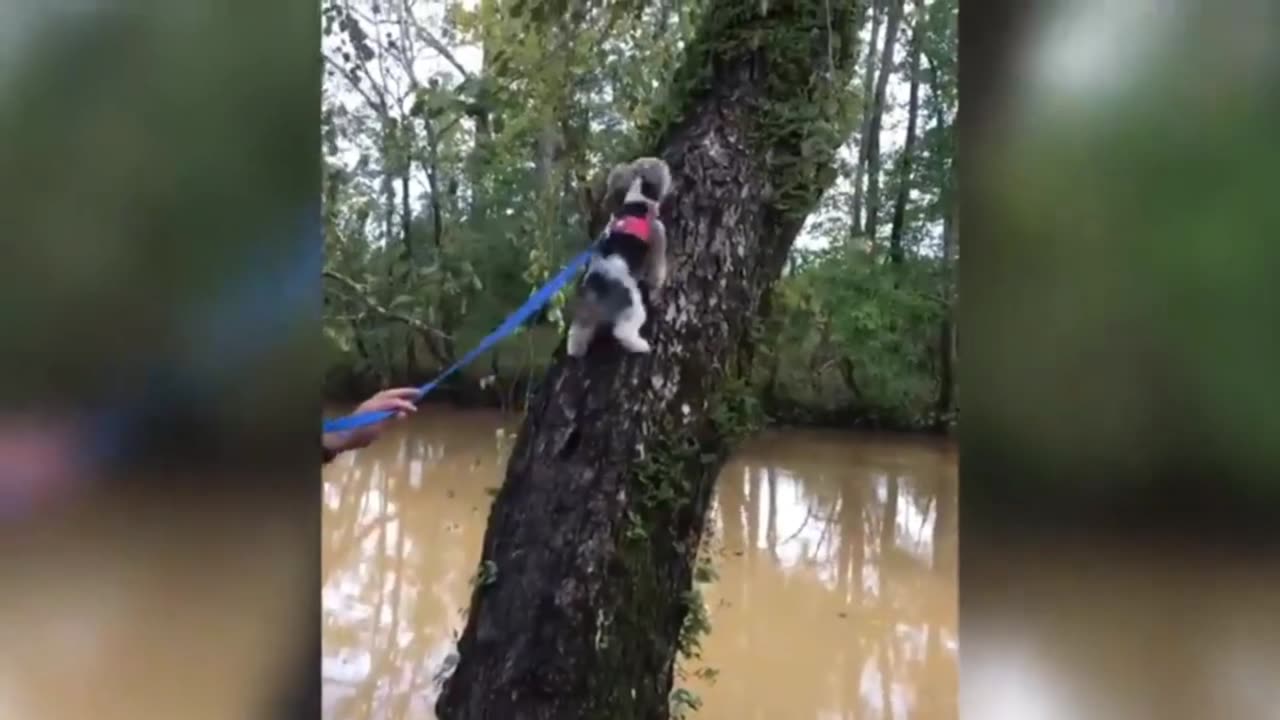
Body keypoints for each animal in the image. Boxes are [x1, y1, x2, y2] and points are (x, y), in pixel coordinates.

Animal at [568, 158, 670, 356]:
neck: (636, 202)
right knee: (622, 331)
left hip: (587, 312)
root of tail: (596, 282)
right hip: (632, 304)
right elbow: (657, 269)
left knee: (577, 332)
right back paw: (642, 346)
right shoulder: (658, 234)